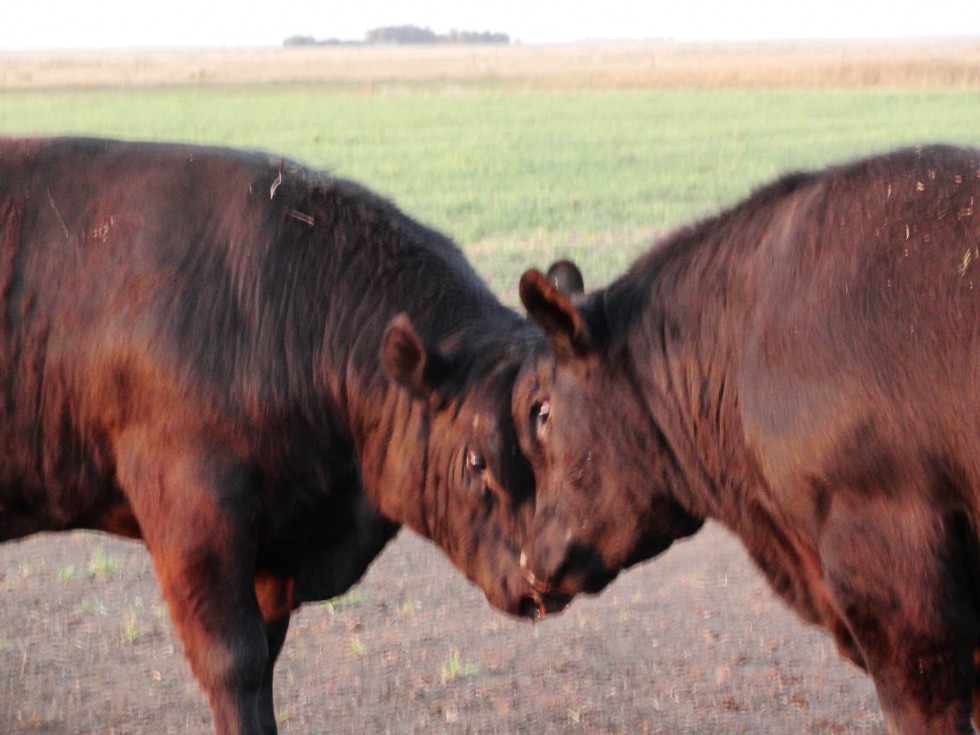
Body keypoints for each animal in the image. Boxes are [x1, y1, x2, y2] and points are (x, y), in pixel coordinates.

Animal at [0, 138, 560, 735]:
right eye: (478, 462)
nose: (545, 579)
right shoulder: (192, 521)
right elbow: (235, 662)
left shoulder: (273, 545)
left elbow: (267, 657)